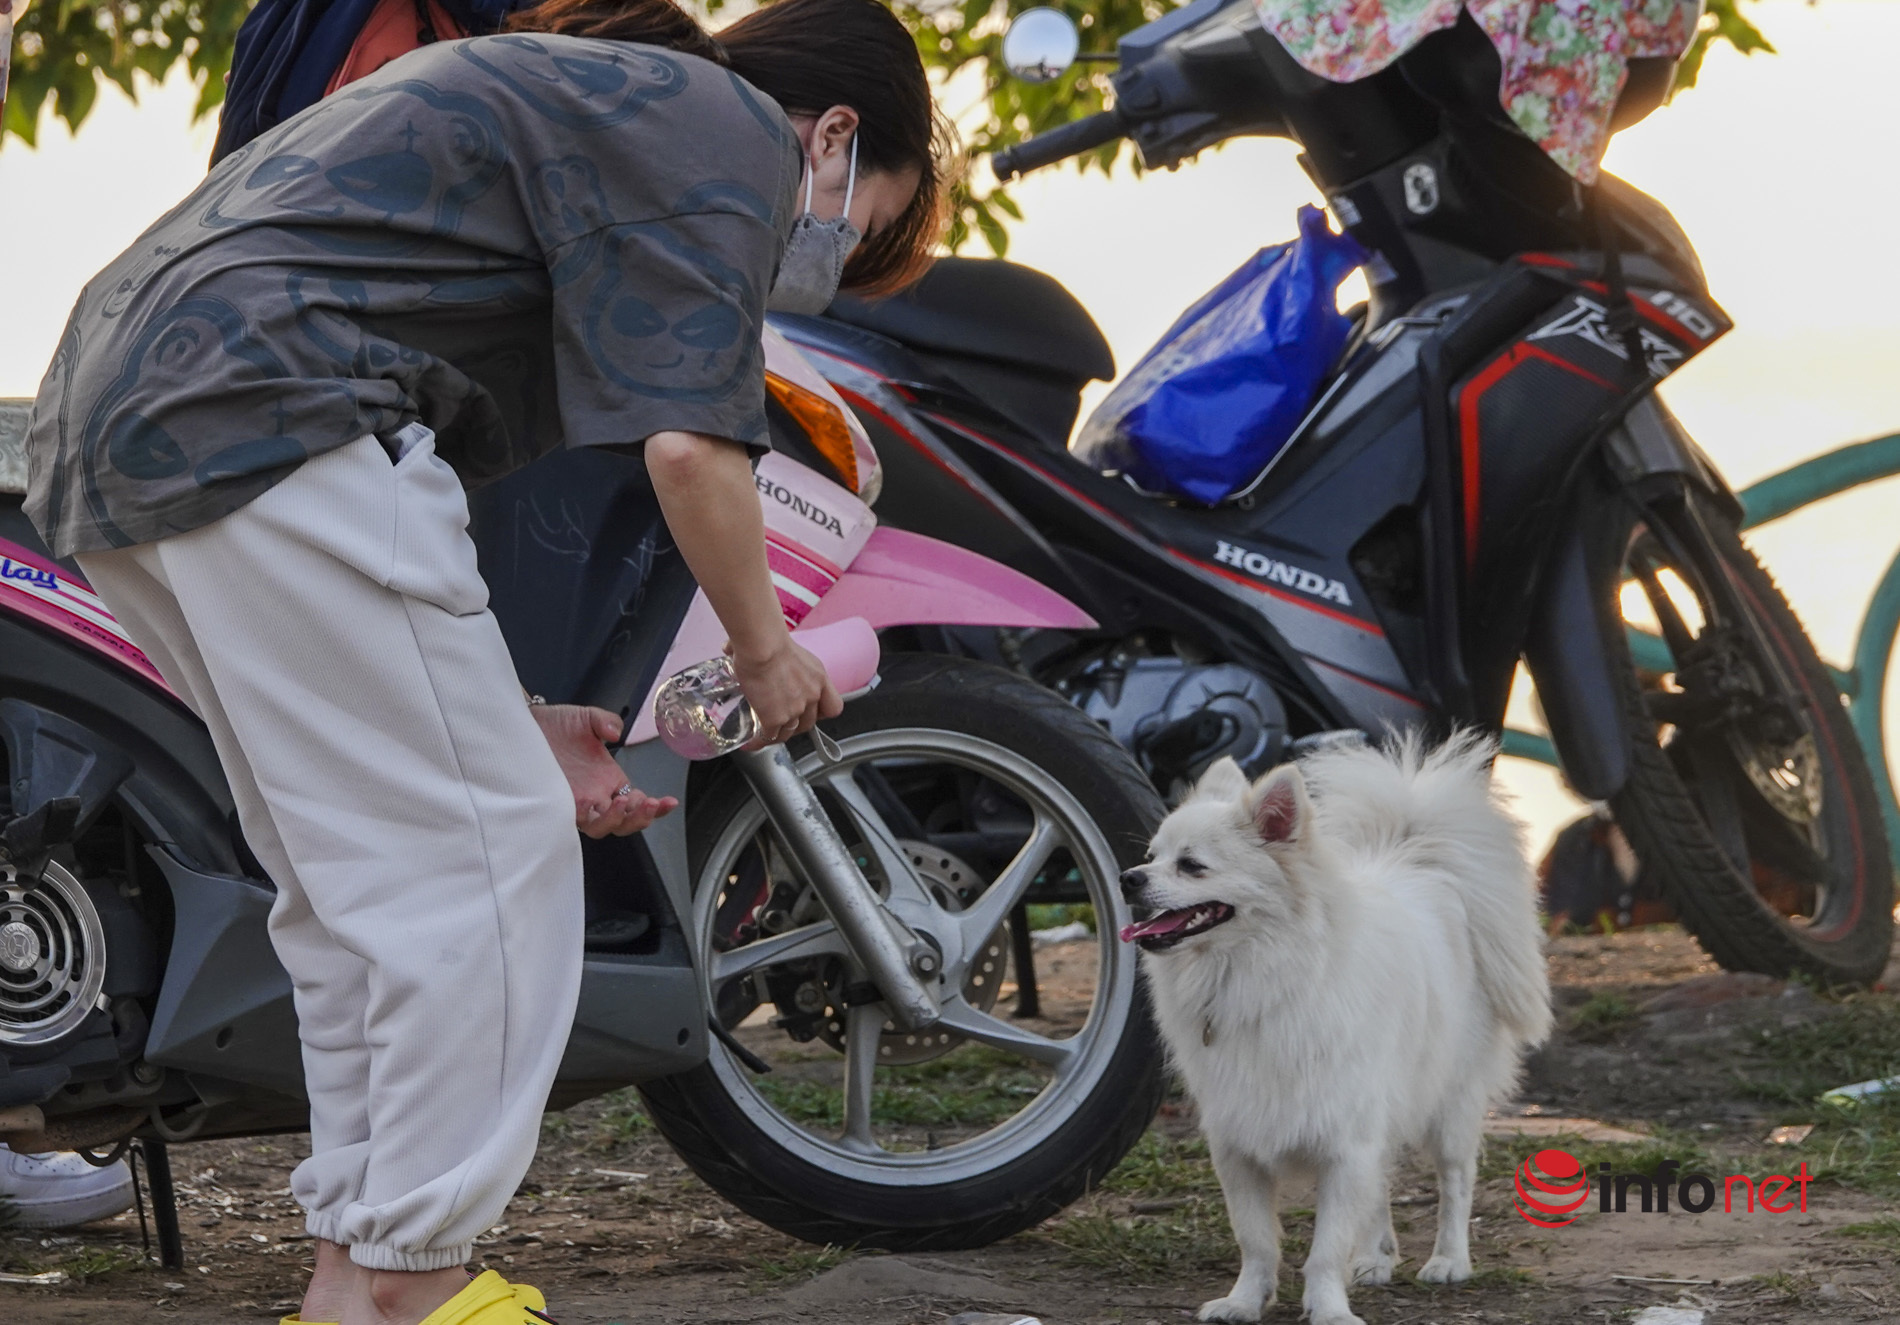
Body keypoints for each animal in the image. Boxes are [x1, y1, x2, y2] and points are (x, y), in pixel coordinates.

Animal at [1117, 733, 1550, 1323]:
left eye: (1192, 866)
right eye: (1150, 858)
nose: (1127, 879)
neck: (1260, 978)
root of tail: (1420, 863)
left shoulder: (1345, 1143)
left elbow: (1326, 1247)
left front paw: (1328, 1309)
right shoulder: (1239, 1147)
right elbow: (1256, 1240)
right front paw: (1244, 1301)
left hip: (1450, 1104)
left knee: (1456, 1180)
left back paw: (1448, 1261)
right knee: (1383, 1185)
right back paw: (1376, 1258)